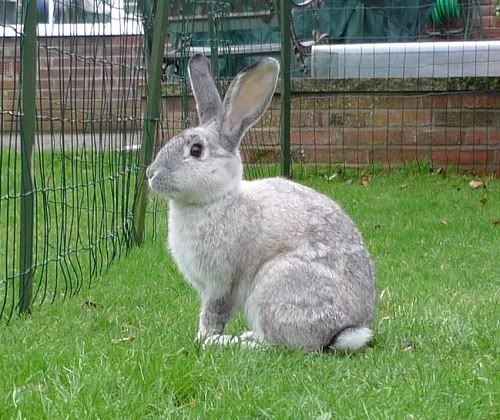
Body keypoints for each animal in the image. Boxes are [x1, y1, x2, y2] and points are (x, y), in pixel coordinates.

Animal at [146, 54, 376, 352]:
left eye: (196, 150)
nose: (150, 173)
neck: (216, 199)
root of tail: (343, 331)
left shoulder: (223, 284)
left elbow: (214, 313)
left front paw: (205, 338)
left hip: (275, 284)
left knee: (277, 344)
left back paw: (234, 342)